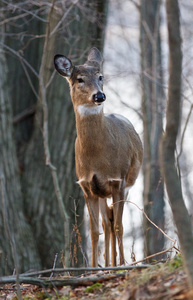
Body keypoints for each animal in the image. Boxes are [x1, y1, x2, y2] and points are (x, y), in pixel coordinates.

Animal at [53, 47, 142, 268]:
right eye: (79, 79)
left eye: (100, 76)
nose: (99, 95)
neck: (97, 157)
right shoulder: (87, 186)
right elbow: (94, 231)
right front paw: (92, 268)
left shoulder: (118, 181)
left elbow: (119, 226)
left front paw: (122, 264)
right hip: (101, 192)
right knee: (106, 222)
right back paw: (108, 264)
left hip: (127, 184)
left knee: (113, 222)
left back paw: (115, 264)